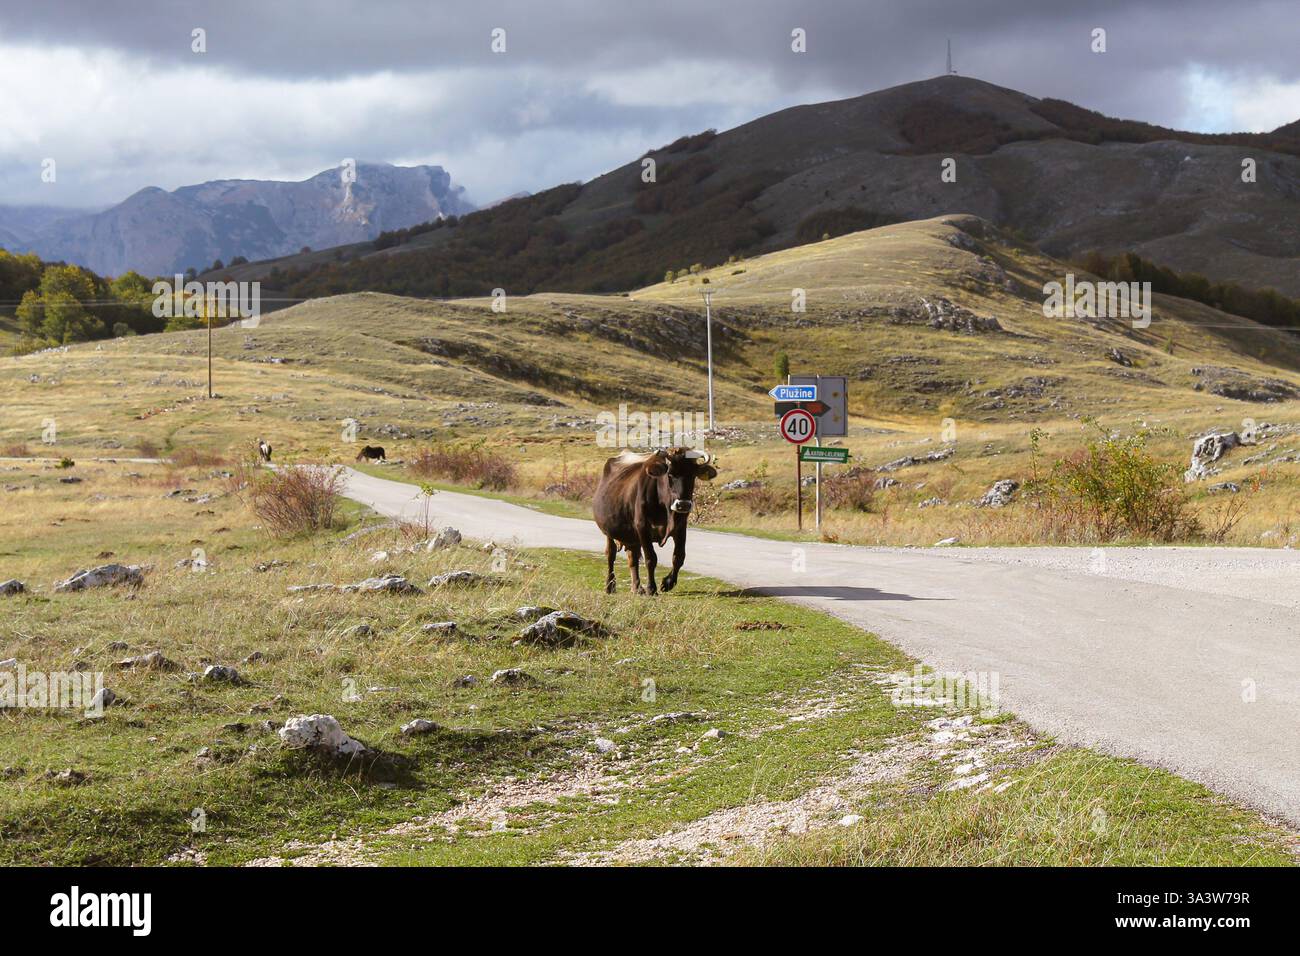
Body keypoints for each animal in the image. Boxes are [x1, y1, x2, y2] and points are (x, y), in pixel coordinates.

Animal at [592, 447, 717, 595]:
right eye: (670, 475)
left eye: (692, 475)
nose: (683, 505)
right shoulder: (642, 527)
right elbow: (651, 558)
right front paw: (651, 588)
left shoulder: (681, 527)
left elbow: (679, 557)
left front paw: (668, 583)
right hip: (609, 531)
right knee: (610, 555)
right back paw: (610, 586)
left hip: (631, 536)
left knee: (632, 558)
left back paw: (637, 588)